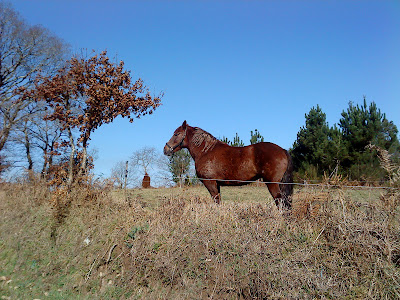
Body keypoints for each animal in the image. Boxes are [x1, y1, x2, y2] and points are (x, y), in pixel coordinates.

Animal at [163, 120, 294, 210]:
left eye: (176, 134)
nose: (166, 149)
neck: (206, 151)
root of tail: (282, 150)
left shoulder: (210, 183)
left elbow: (216, 201)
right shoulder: (217, 184)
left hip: (272, 184)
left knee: (281, 203)